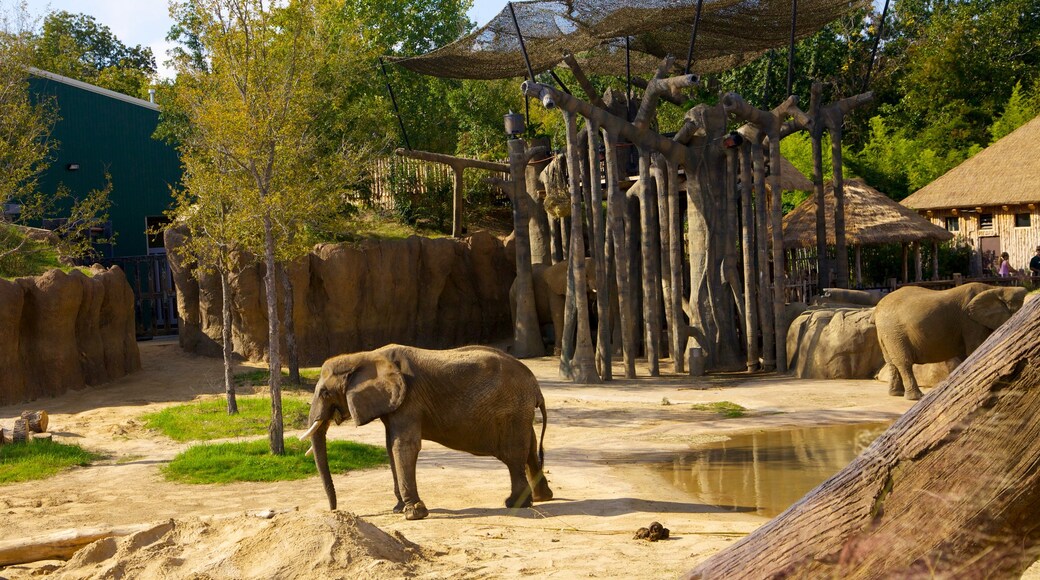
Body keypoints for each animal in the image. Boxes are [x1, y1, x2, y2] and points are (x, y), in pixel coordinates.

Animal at [299, 345, 553, 523]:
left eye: (325, 393)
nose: (334, 510)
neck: (366, 356)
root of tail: (536, 386)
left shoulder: (409, 399)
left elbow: (403, 446)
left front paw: (413, 514)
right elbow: (390, 446)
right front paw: (398, 509)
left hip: (512, 411)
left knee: (513, 455)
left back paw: (516, 503)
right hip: (519, 411)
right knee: (530, 449)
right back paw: (541, 498)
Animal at [873, 284, 1027, 403]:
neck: (996, 288)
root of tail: (877, 309)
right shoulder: (970, 321)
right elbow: (975, 349)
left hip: (887, 334)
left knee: (891, 363)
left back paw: (896, 394)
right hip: (894, 332)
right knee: (904, 362)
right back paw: (916, 397)